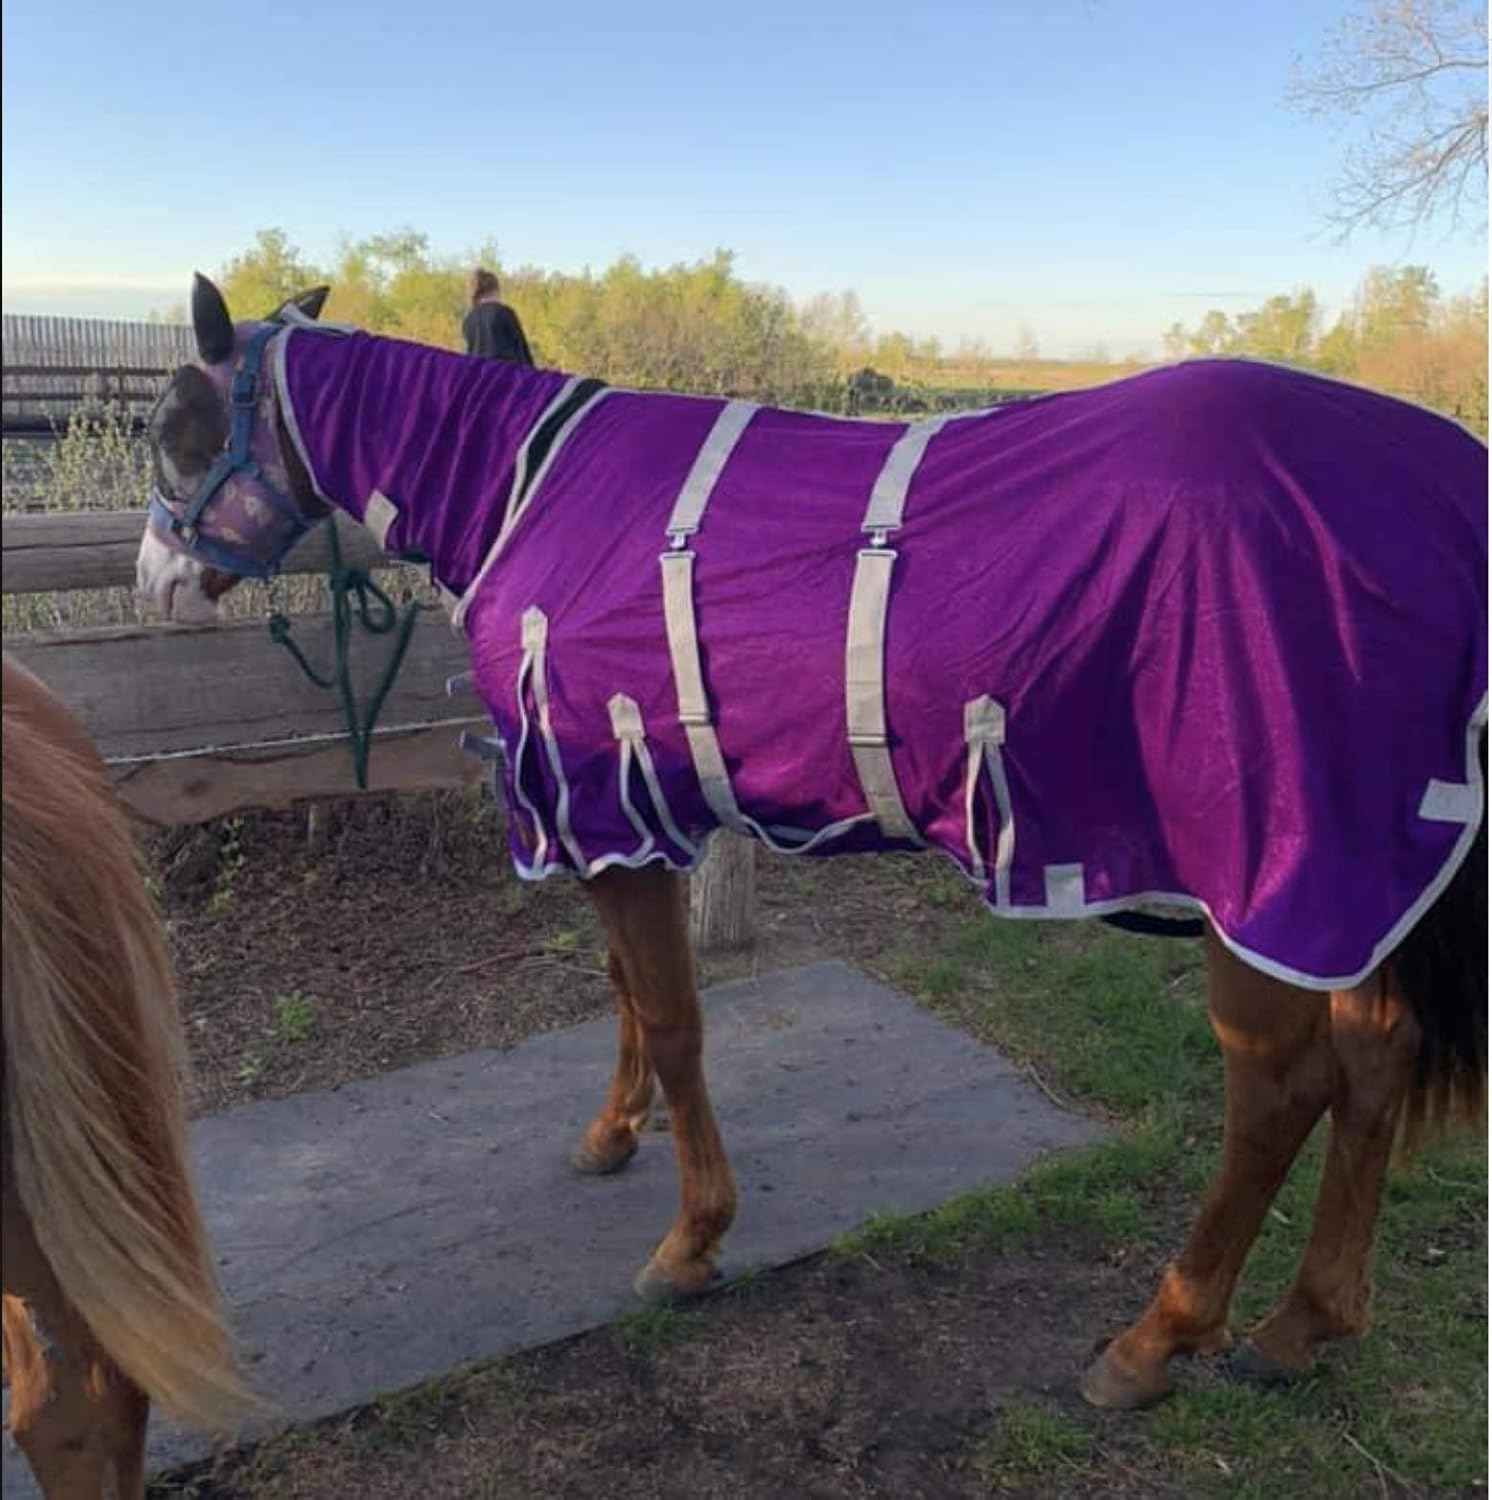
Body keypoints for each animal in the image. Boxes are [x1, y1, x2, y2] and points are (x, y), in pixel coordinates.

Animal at [134, 273, 1486, 1412]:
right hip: (1357, 892)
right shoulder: (627, 819)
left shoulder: (607, 801)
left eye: (171, 421)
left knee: (1279, 1092)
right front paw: (612, 1135)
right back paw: (1300, 1325)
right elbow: (625, 989)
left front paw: (691, 1239)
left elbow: (674, 1018)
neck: (530, 489)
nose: (153, 580)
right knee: (1371, 1065)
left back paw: (1159, 1338)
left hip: (1266, 881)